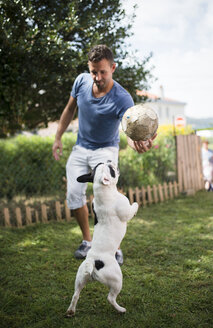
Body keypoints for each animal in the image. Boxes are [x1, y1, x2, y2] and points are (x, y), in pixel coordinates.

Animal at [66, 161, 138, 316]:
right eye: (111, 170)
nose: (109, 160)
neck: (104, 191)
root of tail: (93, 263)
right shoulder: (125, 210)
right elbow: (131, 208)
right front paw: (136, 204)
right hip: (117, 279)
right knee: (110, 298)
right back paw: (120, 309)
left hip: (80, 278)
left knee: (75, 295)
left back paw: (71, 311)